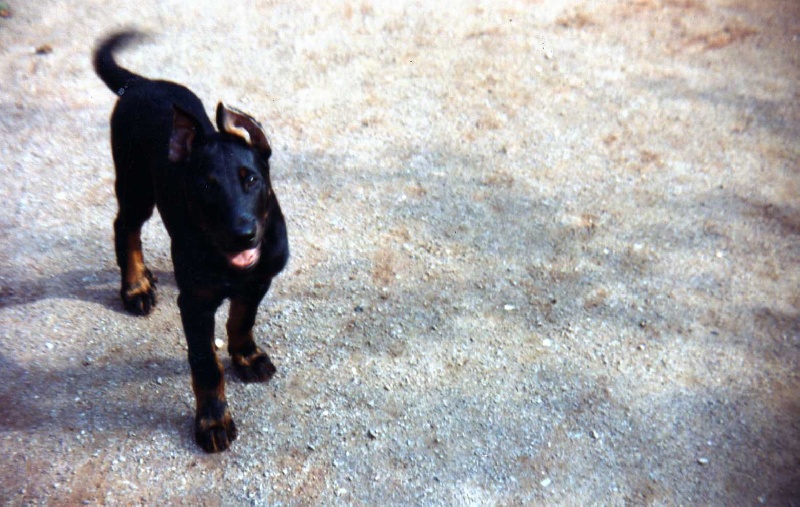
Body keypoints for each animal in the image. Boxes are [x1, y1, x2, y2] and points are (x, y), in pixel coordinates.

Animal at [93, 31, 290, 452]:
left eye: (251, 179)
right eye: (206, 188)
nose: (243, 234)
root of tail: (141, 84)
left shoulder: (258, 280)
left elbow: (242, 319)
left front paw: (246, 357)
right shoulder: (195, 304)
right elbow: (205, 365)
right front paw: (213, 421)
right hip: (135, 183)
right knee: (125, 227)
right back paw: (135, 285)